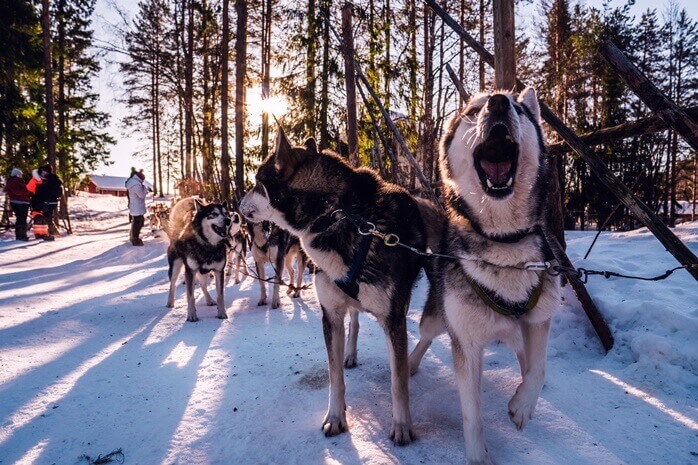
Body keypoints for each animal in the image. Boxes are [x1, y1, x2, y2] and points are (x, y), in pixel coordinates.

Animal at [238, 126, 436, 442]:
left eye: (257, 182)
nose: (238, 204)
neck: (335, 214)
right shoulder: (330, 315)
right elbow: (335, 378)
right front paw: (335, 417)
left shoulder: (394, 319)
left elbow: (398, 381)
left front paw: (403, 425)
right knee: (353, 321)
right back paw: (350, 354)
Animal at [408, 88, 560, 464]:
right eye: (474, 111)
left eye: (519, 109)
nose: (499, 103)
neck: (503, 241)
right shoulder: (466, 343)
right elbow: (471, 414)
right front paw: (478, 456)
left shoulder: (539, 319)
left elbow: (538, 369)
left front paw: (523, 405)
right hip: (437, 318)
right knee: (425, 336)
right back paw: (411, 362)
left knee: (524, 356)